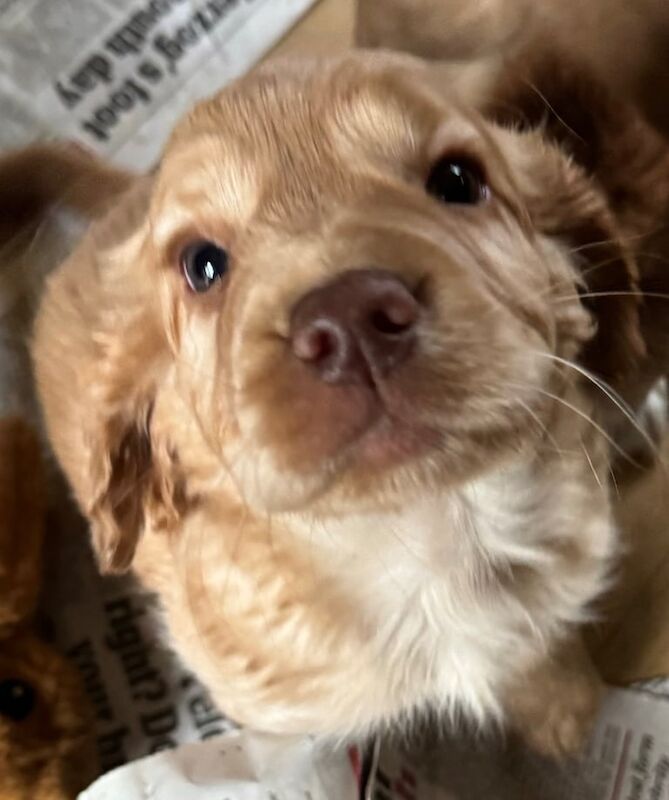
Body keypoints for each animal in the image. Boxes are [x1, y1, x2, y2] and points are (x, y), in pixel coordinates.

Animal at [26, 51, 668, 756]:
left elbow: (539, 645)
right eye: (202, 266)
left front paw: (566, 712)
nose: (350, 317)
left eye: (458, 180)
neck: (434, 537)